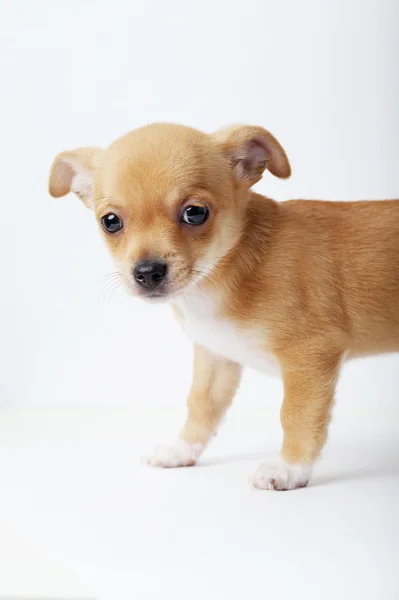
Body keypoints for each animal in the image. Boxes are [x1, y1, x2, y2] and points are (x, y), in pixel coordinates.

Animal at [50, 123, 399, 492]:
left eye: (194, 213)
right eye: (110, 221)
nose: (147, 272)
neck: (219, 279)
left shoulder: (312, 356)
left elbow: (297, 414)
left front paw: (290, 468)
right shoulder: (215, 356)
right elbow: (202, 405)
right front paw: (182, 449)